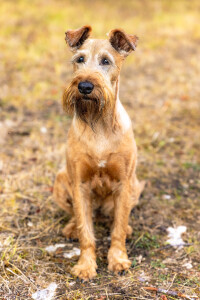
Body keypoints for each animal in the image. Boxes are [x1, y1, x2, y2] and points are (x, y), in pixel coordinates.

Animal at [53, 26, 145, 282]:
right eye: (79, 59)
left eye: (106, 61)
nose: (85, 86)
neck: (99, 124)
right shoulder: (80, 184)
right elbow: (86, 232)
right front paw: (85, 266)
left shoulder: (124, 183)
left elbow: (118, 229)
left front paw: (118, 260)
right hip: (60, 182)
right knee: (77, 216)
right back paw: (71, 228)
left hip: (136, 186)